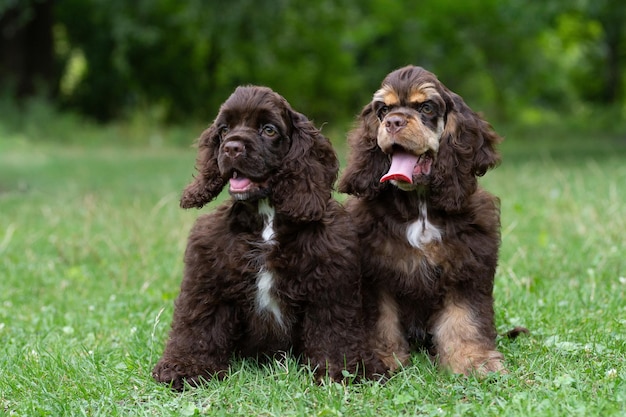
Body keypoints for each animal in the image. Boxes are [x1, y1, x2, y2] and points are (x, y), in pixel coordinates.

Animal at [153, 85, 382, 390]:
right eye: (224, 129)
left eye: (269, 130)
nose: (231, 147)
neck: (266, 220)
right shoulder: (207, 278)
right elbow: (197, 324)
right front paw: (185, 368)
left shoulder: (330, 281)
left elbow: (335, 330)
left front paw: (346, 371)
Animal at [338, 66, 504, 376]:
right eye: (383, 109)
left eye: (426, 107)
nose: (393, 122)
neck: (420, 206)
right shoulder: (375, 271)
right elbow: (380, 322)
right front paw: (383, 359)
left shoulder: (467, 263)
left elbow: (465, 318)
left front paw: (473, 361)